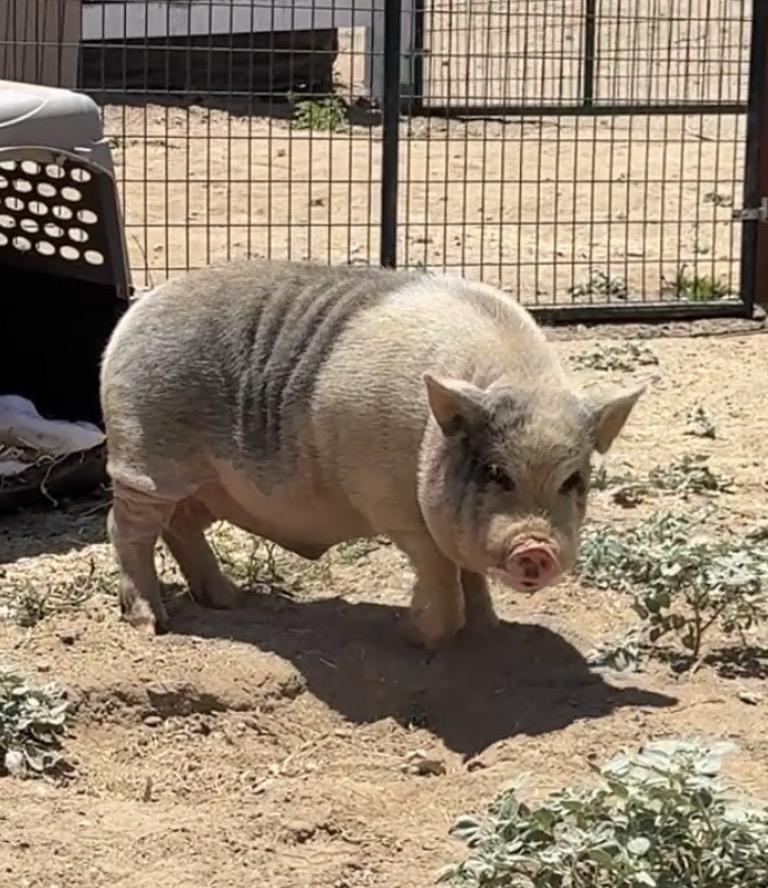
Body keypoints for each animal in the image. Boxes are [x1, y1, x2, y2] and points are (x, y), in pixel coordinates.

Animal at [100, 259, 643, 649]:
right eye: (495, 472)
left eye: (574, 481)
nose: (536, 548)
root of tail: (135, 314)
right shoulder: (397, 510)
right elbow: (440, 573)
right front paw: (414, 635)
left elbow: (468, 571)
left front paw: (489, 628)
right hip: (145, 458)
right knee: (126, 528)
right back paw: (151, 624)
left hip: (209, 486)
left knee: (180, 526)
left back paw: (230, 601)